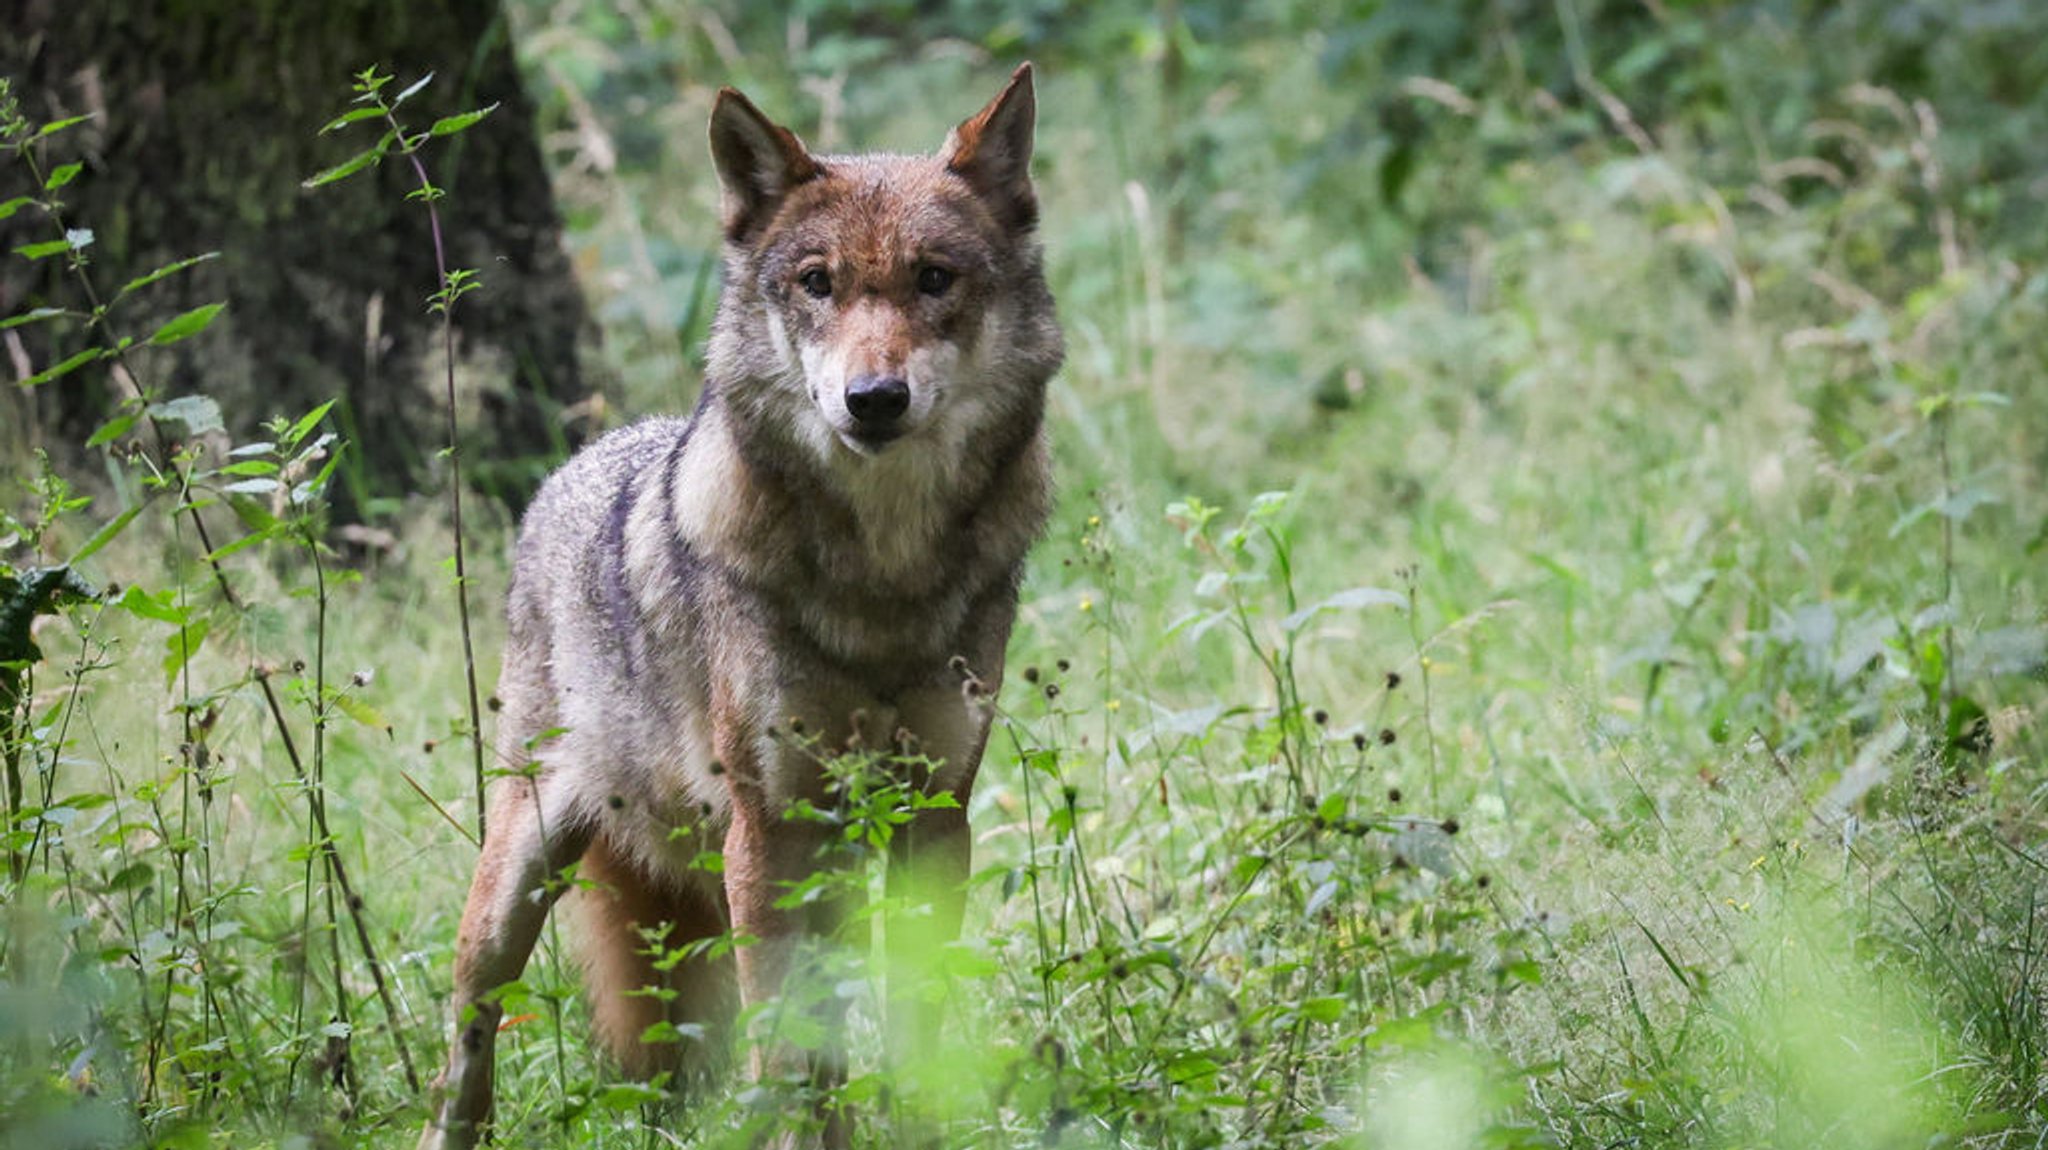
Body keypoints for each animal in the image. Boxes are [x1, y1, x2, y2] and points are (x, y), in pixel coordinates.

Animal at [415, 67, 1056, 1145]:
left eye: (934, 279)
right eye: (816, 283)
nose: (872, 398)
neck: (882, 580)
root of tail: (575, 466)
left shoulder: (932, 818)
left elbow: (912, 1032)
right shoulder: (769, 832)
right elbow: (787, 1048)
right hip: (518, 881)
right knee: (465, 1041)